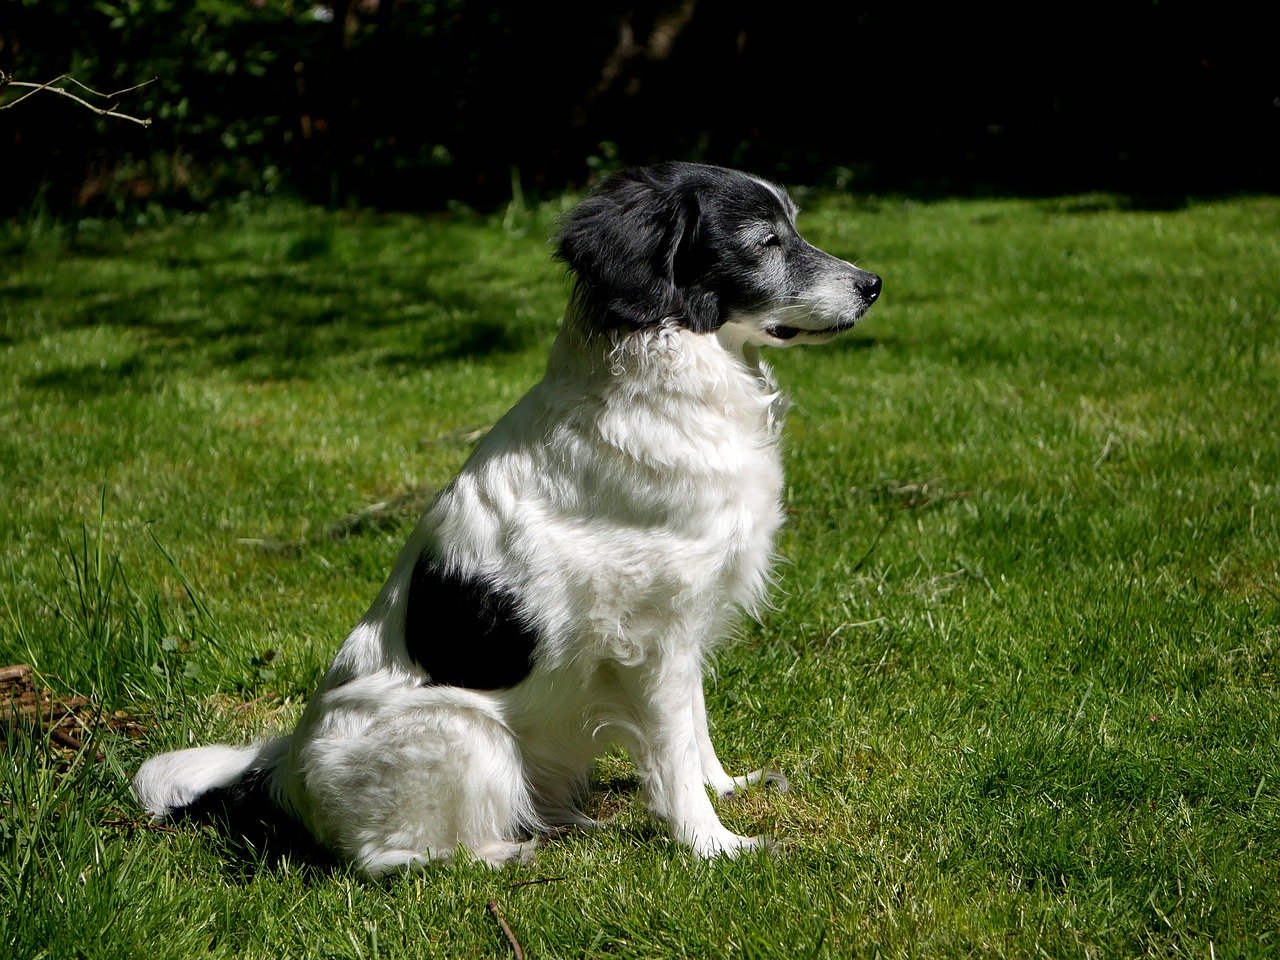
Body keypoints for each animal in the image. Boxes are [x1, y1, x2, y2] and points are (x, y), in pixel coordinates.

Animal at [135, 161, 885, 875]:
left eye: (792, 228)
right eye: (766, 243)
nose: (874, 284)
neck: (671, 375)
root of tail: (286, 769)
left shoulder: (687, 624)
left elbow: (694, 731)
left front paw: (725, 789)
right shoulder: (651, 639)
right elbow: (672, 752)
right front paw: (713, 845)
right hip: (468, 733)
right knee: (382, 857)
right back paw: (505, 853)